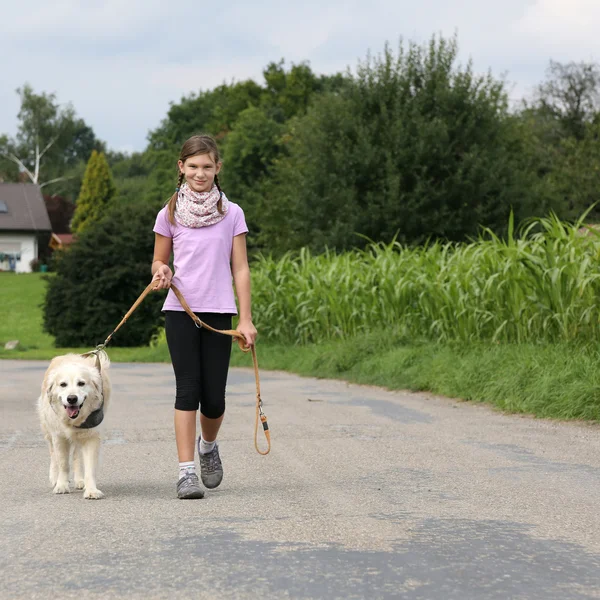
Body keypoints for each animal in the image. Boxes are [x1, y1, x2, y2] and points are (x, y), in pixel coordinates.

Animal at [37, 352, 111, 496]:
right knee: (53, 454)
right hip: (48, 431)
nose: (72, 399)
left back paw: (79, 480)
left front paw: (91, 490)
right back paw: (54, 478)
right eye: (63, 384)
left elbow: (90, 467)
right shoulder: (58, 436)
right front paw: (61, 485)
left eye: (81, 383)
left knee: (77, 456)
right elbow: (63, 463)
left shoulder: (92, 436)